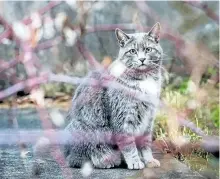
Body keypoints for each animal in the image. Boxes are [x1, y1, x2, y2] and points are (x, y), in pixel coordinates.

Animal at [64, 22, 162, 169]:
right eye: (132, 51)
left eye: (148, 49)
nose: (142, 59)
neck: (144, 80)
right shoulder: (123, 119)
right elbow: (128, 145)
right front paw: (135, 161)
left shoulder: (148, 119)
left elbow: (145, 144)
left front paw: (149, 160)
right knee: (81, 158)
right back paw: (108, 160)